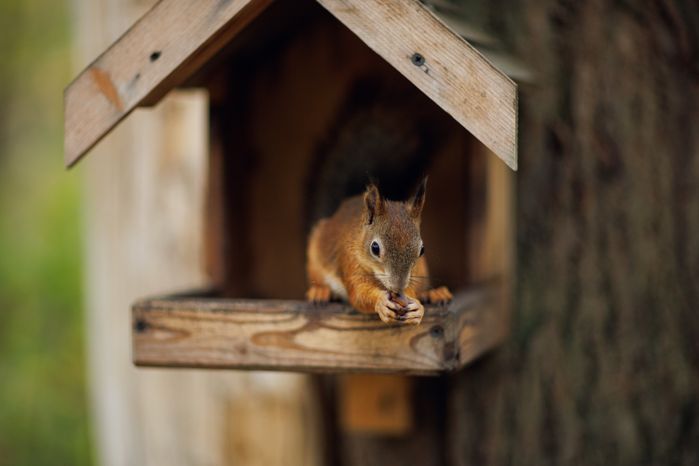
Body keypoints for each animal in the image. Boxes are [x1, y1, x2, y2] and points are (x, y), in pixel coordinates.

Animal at [305, 177, 452, 325]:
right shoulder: (350, 261)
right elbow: (358, 294)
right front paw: (381, 302)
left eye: (422, 250)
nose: (398, 287)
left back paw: (435, 293)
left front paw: (418, 308)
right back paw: (320, 291)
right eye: (375, 248)